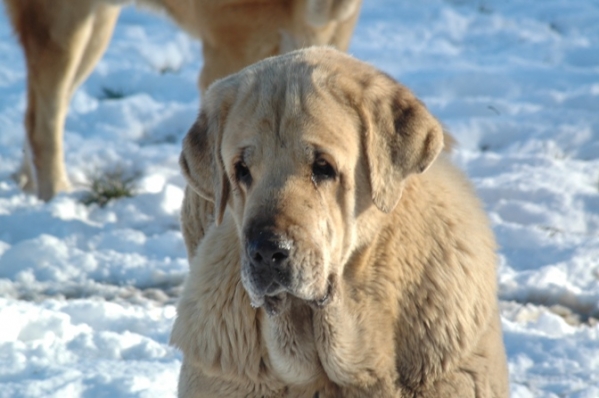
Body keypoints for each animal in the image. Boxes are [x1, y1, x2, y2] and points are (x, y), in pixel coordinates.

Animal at [2, 0, 360, 201]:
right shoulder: (233, 46)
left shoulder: (326, 38)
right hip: (64, 26)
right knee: (40, 122)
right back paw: (57, 198)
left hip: (96, 26)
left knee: (39, 111)